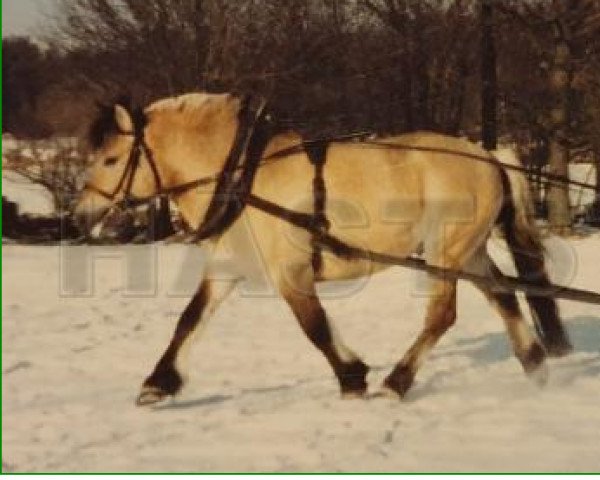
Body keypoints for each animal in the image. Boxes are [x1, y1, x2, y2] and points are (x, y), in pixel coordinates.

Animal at [74, 91, 572, 404]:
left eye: (111, 159)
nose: (80, 214)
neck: (245, 178)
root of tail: (490, 156)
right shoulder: (226, 268)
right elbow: (188, 320)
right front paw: (157, 384)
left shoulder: (290, 273)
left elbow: (314, 328)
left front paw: (353, 378)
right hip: (467, 252)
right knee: (503, 295)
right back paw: (535, 366)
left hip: (444, 254)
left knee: (442, 315)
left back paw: (396, 382)